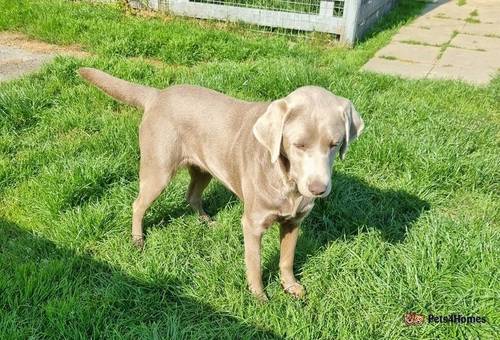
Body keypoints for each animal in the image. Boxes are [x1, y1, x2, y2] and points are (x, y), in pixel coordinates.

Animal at [78, 67, 364, 300]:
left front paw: (291, 286)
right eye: (299, 145)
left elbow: (286, 259)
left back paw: (207, 221)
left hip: (204, 168)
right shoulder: (253, 224)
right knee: (138, 204)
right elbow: (254, 263)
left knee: (192, 195)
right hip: (158, 170)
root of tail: (157, 95)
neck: (287, 181)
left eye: (335, 144)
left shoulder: (294, 222)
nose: (318, 189)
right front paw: (259, 298)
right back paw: (138, 240)